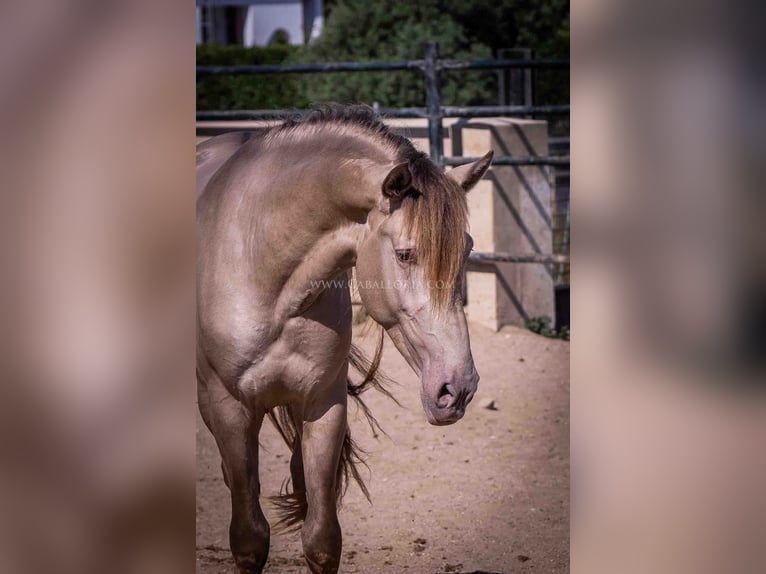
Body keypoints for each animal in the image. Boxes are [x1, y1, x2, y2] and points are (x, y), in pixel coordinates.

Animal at [198, 106, 496, 572]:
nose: (458, 388)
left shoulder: (324, 405)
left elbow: (322, 538)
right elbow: (249, 539)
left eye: (465, 250)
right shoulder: (230, 410)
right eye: (405, 254)